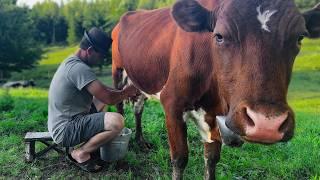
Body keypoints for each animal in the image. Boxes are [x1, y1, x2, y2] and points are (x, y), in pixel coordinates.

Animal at [110, 0, 320, 179]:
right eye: (219, 36)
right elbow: (179, 159)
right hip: (117, 69)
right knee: (119, 103)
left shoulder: (215, 115)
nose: (266, 125)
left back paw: (140, 139)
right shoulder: (172, 104)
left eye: (300, 37)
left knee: (138, 107)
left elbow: (211, 160)